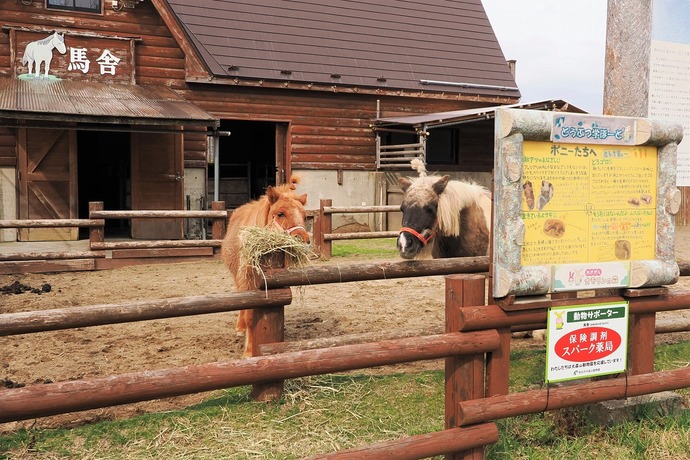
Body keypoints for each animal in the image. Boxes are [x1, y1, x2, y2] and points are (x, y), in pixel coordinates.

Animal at [221, 176, 309, 357]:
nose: (303, 240)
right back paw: (240, 327)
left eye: (305, 216)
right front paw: (248, 352)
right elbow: (249, 316)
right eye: (280, 213)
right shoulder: (246, 282)